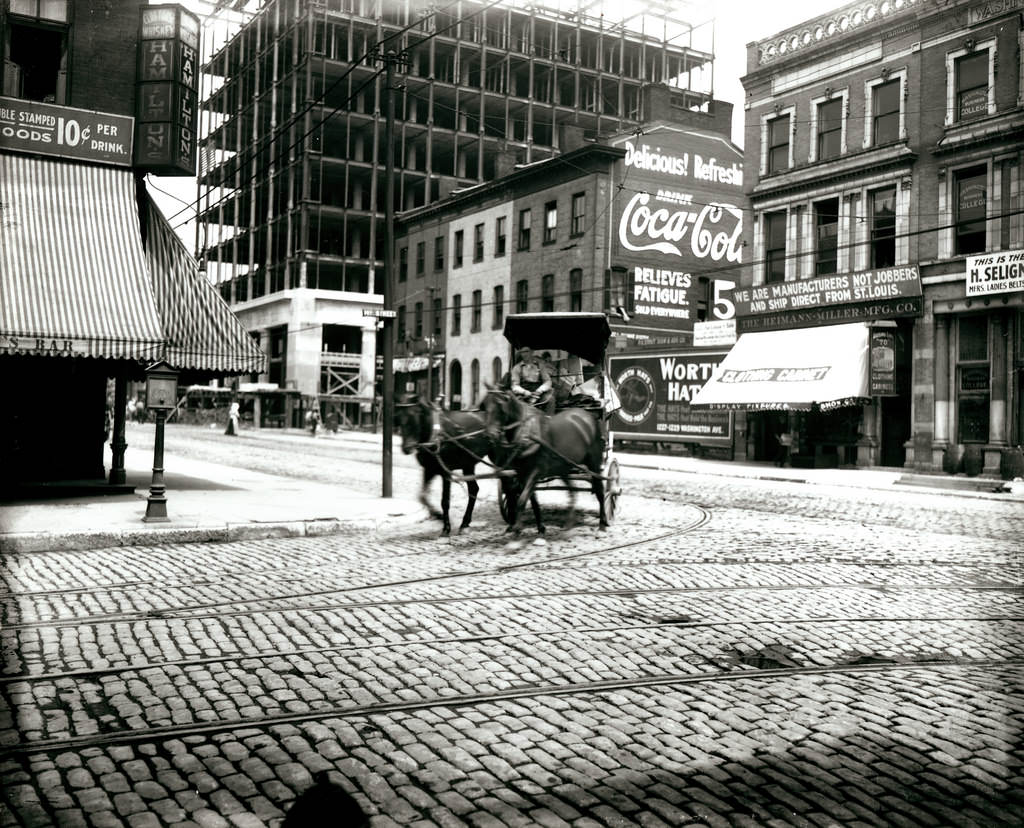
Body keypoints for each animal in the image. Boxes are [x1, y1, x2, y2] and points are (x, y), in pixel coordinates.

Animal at [481, 388, 606, 532]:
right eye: (485, 407)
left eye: (501, 407)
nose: (490, 435)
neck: (526, 434)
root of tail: (587, 415)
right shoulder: (521, 473)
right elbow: (527, 498)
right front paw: (537, 526)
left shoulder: (536, 471)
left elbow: (522, 499)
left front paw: (518, 528)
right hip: (564, 466)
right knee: (572, 492)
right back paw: (569, 523)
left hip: (594, 463)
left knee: (600, 490)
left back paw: (603, 522)